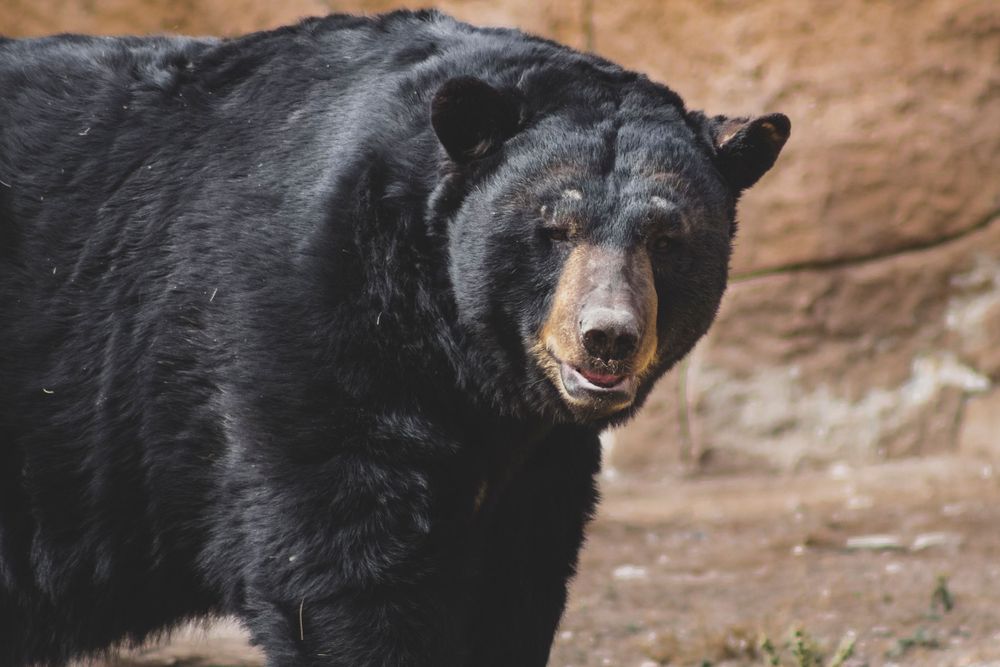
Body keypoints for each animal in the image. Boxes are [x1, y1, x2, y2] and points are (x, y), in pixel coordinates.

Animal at [0, 10, 789, 667]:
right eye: (554, 227)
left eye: (666, 236)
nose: (607, 338)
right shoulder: (299, 322)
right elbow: (343, 564)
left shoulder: (534, 457)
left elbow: (518, 579)